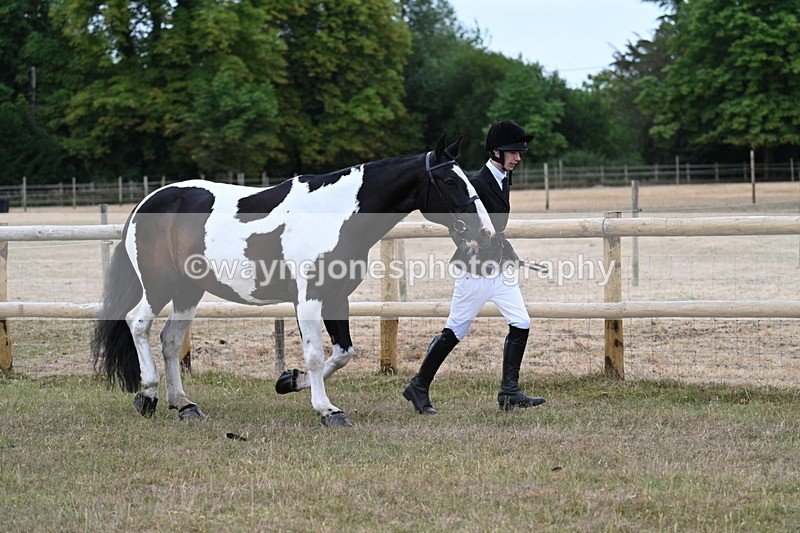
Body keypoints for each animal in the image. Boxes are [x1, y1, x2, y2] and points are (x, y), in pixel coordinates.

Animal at [91, 136, 495, 427]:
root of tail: (146, 203)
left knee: (171, 341)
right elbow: (315, 354)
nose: (485, 231)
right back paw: (148, 396)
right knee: (138, 324)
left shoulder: (337, 297)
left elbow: (343, 353)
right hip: (159, 286)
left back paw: (184, 404)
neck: (335, 214)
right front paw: (328, 410)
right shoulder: (309, 298)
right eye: (448, 180)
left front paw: (289, 381)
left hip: (188, 290)